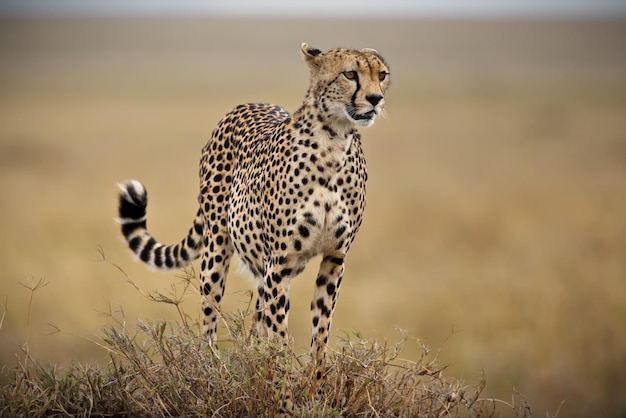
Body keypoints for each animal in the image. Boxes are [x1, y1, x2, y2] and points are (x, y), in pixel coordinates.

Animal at [116, 42, 390, 382]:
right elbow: (280, 334)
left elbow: (320, 331)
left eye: (382, 75)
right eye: (350, 74)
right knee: (209, 322)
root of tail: (247, 104)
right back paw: (214, 370)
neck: (335, 141)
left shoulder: (334, 258)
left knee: (254, 327)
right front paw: (282, 385)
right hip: (218, 250)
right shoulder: (281, 261)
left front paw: (314, 383)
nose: (376, 99)